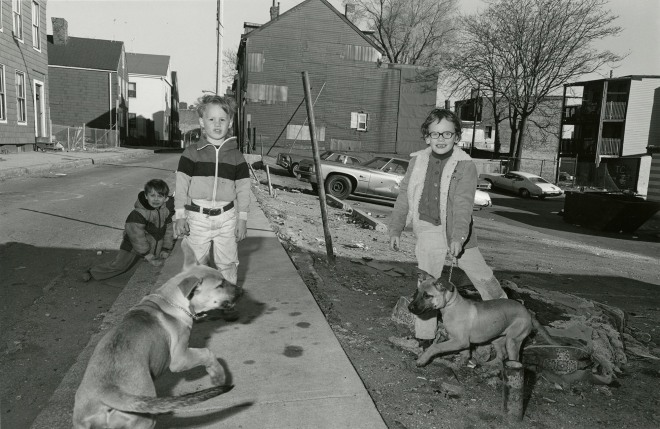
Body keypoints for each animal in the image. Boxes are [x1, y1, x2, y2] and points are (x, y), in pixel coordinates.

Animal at [73, 241, 242, 428]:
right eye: (220, 285)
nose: (241, 291)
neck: (171, 301)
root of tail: (107, 392)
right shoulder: (179, 359)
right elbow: (208, 353)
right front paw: (218, 376)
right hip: (145, 419)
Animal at [410, 270, 544, 364]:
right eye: (417, 291)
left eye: (427, 296)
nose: (409, 307)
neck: (452, 305)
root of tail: (527, 312)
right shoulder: (460, 341)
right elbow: (465, 353)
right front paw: (461, 363)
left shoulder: (460, 341)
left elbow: (436, 346)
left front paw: (423, 359)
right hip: (496, 337)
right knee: (502, 355)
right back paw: (490, 366)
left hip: (512, 341)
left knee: (514, 359)